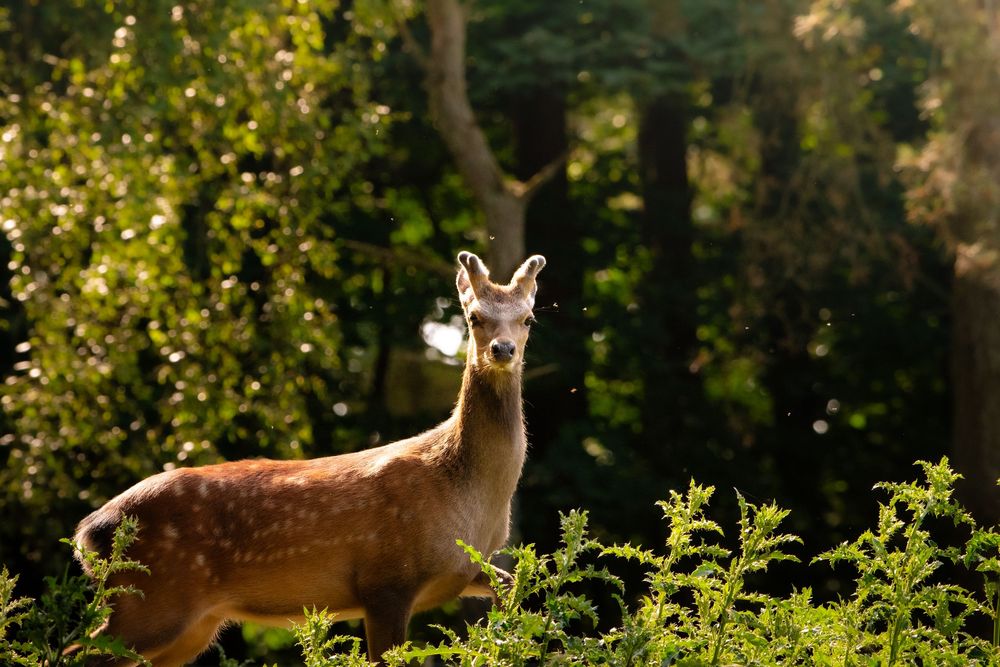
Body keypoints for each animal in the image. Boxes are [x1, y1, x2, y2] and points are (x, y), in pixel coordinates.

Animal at [73, 251, 546, 666]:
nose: (503, 350)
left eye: (528, 318)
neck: (469, 497)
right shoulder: (386, 581)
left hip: (193, 624)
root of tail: (91, 530)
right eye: (474, 317)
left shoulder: (463, 570)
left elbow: (512, 588)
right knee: (82, 649)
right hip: (154, 596)